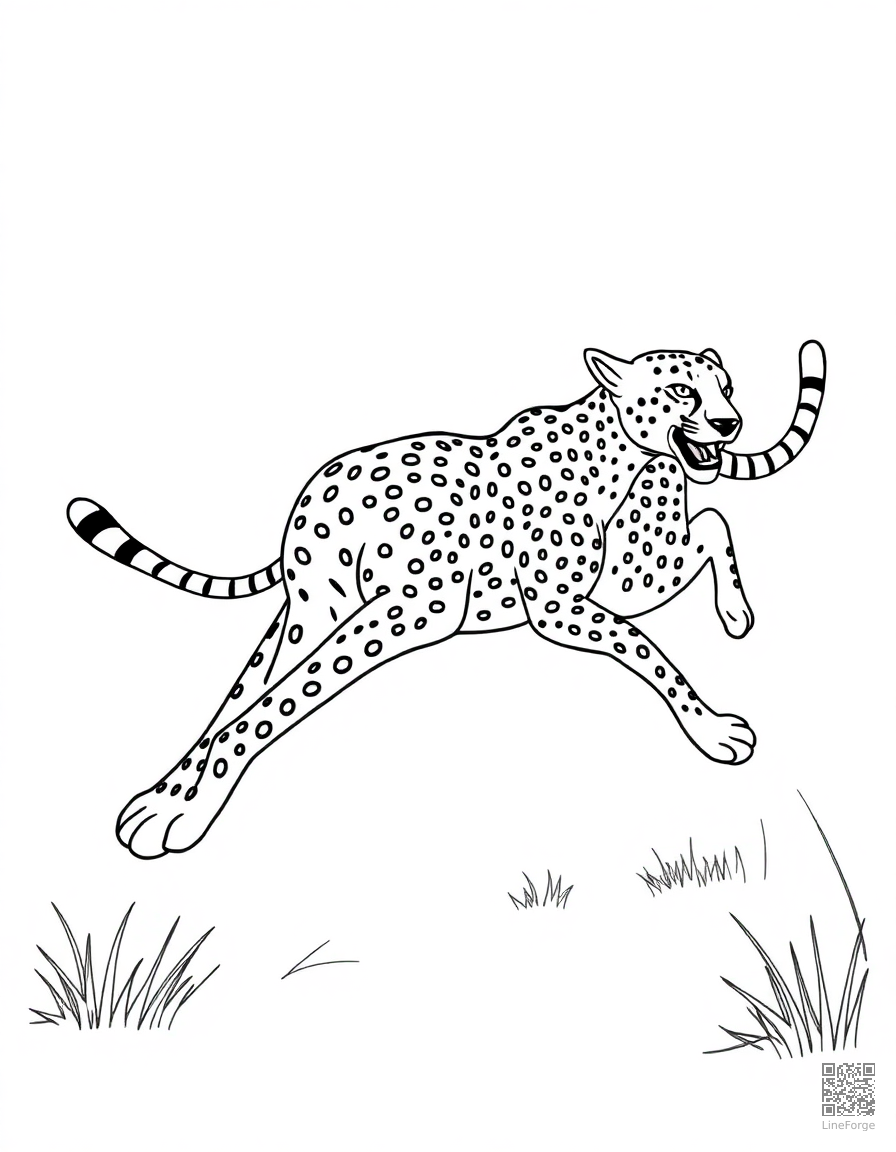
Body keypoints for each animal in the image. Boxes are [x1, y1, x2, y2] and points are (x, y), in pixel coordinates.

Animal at [67, 339, 826, 858]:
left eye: (726, 387)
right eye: (681, 391)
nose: (730, 425)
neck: (613, 451)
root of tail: (308, 500)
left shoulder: (567, 602)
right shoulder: (507, 612)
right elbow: (252, 710)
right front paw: (176, 808)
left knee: (710, 525)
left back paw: (737, 615)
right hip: (338, 616)